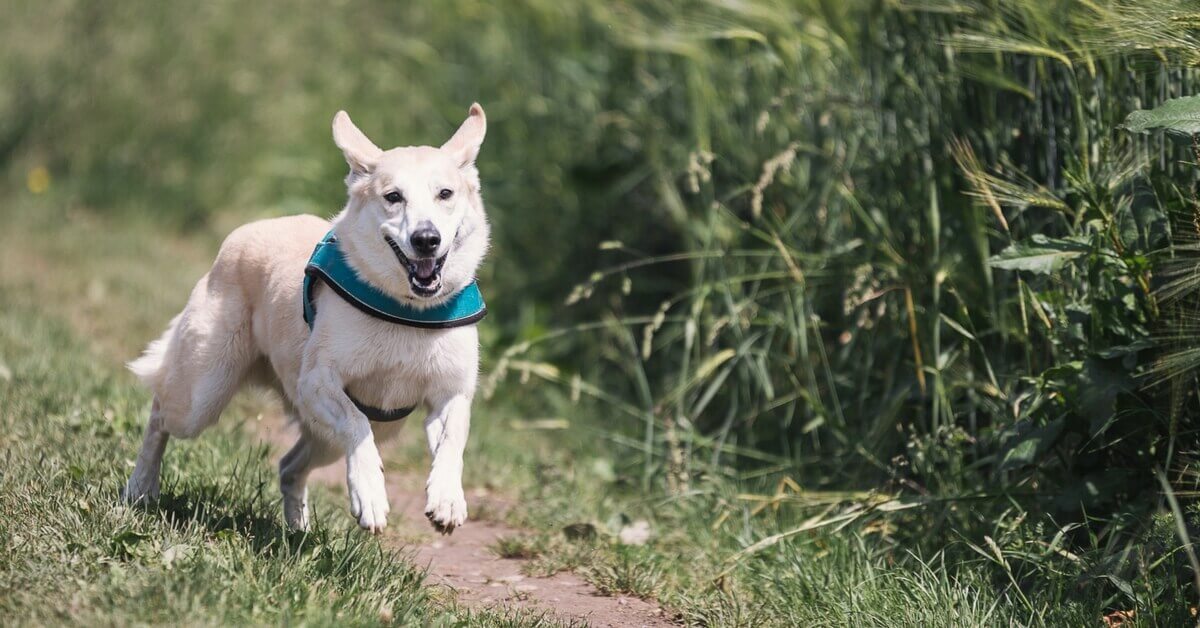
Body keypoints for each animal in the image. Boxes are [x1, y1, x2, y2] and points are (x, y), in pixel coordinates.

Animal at [121, 104, 492, 535]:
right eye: (393, 197)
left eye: (445, 194)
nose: (426, 239)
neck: (407, 311)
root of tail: (245, 232)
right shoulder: (317, 382)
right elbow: (356, 424)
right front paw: (370, 496)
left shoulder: (451, 394)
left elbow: (453, 441)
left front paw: (447, 499)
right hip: (202, 395)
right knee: (160, 415)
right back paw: (140, 488)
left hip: (331, 436)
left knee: (289, 466)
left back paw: (298, 530)